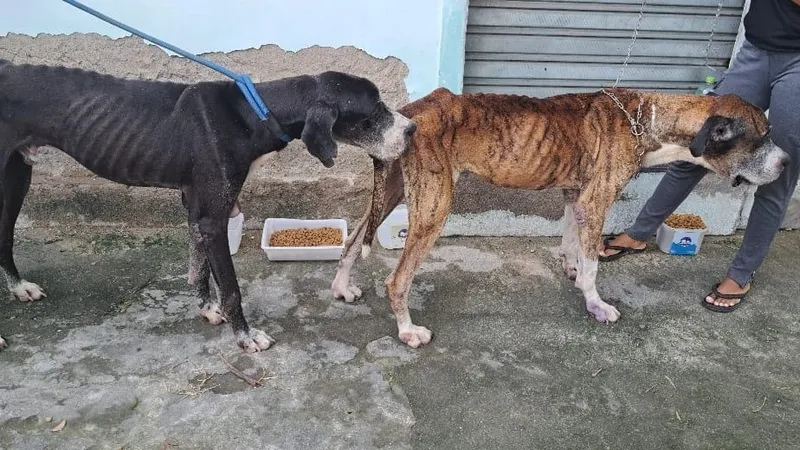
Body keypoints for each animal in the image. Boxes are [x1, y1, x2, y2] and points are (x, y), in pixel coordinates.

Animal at [3, 59, 418, 354]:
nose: (412, 129)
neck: (256, 111)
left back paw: (20, 288)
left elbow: (199, 268)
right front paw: (246, 337)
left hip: (18, 176)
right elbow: (231, 288)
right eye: (373, 109)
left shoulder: (197, 208)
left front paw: (206, 309)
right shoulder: (213, 219)